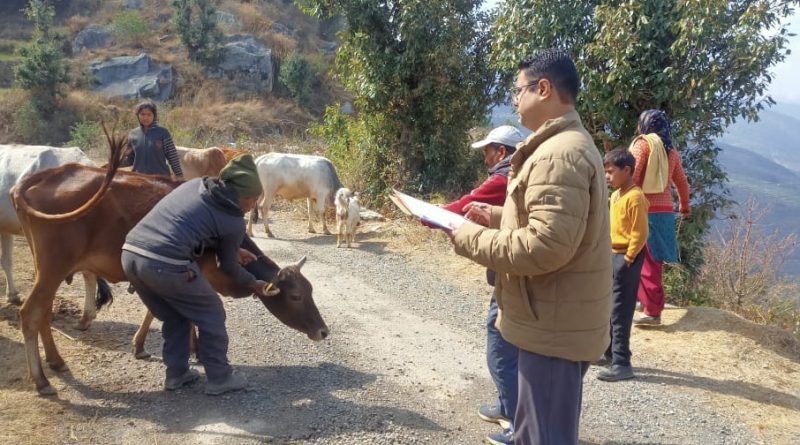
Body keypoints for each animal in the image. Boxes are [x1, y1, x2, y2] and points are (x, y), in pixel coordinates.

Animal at [12, 134, 326, 392]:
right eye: (296, 296)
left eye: (311, 290)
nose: (324, 331)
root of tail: (48, 174)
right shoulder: (197, 274)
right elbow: (189, 316)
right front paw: (194, 351)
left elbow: (162, 314)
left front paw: (146, 346)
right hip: (53, 268)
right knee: (30, 313)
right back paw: (41, 380)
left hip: (47, 270)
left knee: (43, 312)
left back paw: (56, 361)